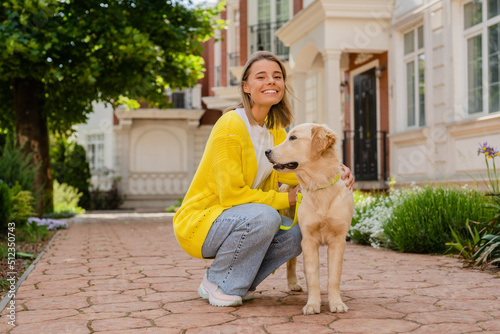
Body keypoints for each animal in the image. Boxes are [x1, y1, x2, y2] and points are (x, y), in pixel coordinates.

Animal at [268, 122, 354, 314]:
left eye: (293, 137)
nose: (267, 151)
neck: (319, 185)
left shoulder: (338, 240)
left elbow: (333, 277)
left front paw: (336, 303)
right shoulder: (308, 238)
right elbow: (314, 277)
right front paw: (313, 304)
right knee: (292, 262)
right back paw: (293, 283)